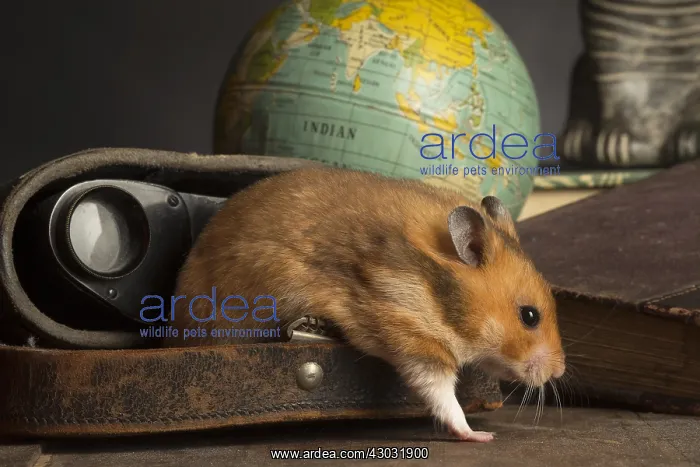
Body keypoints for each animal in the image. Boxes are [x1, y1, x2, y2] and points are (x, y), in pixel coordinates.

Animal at [162, 167, 566, 443]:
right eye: (530, 316)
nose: (558, 373)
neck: (439, 289)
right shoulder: (408, 331)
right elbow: (442, 395)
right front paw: (480, 436)